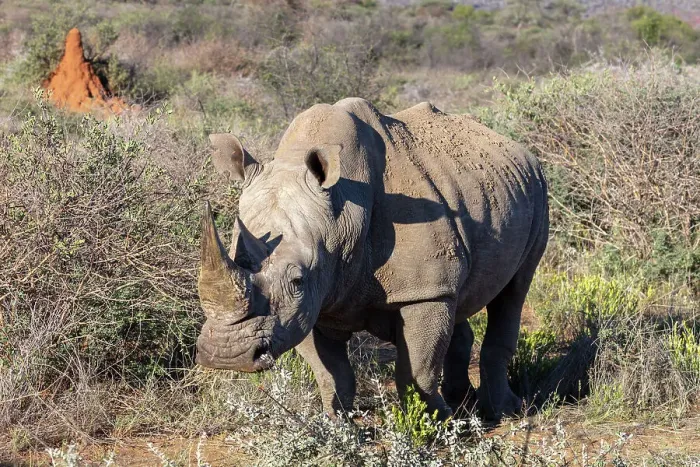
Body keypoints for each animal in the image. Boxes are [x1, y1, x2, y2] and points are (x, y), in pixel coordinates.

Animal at [196, 98, 548, 420]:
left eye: (297, 280)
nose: (228, 355)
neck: (343, 214)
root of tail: (518, 148)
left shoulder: (421, 293)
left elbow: (417, 370)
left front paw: (430, 427)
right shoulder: (310, 303)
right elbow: (331, 373)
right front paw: (339, 429)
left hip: (538, 188)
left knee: (515, 289)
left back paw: (503, 412)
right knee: (460, 295)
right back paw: (464, 404)